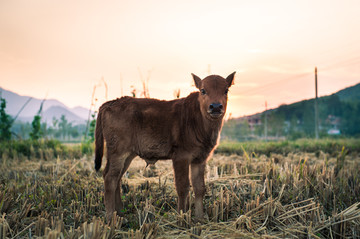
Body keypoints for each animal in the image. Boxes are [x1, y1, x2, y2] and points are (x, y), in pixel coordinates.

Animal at [95, 72, 236, 221]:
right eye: (203, 90)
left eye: (226, 90)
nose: (215, 107)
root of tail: (110, 103)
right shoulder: (181, 157)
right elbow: (183, 187)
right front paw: (182, 217)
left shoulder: (200, 159)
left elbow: (199, 188)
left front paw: (200, 218)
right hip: (118, 152)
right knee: (110, 178)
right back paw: (110, 217)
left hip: (127, 155)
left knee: (117, 178)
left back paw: (120, 213)